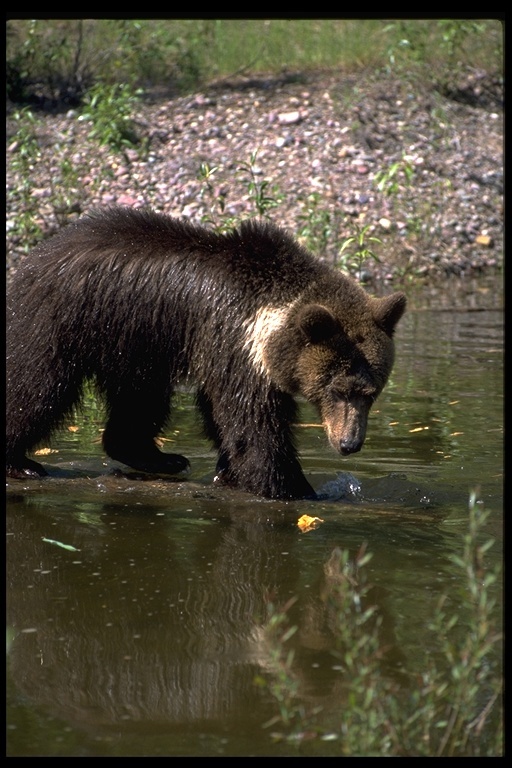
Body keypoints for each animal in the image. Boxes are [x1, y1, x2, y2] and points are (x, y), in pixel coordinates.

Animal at [4, 207, 406, 500]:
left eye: (370, 393)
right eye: (337, 389)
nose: (349, 443)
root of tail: (32, 258)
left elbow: (221, 415)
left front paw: (228, 472)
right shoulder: (235, 345)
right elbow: (252, 427)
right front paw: (296, 488)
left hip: (135, 345)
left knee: (140, 400)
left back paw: (162, 458)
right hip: (59, 321)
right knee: (36, 387)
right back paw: (22, 463)